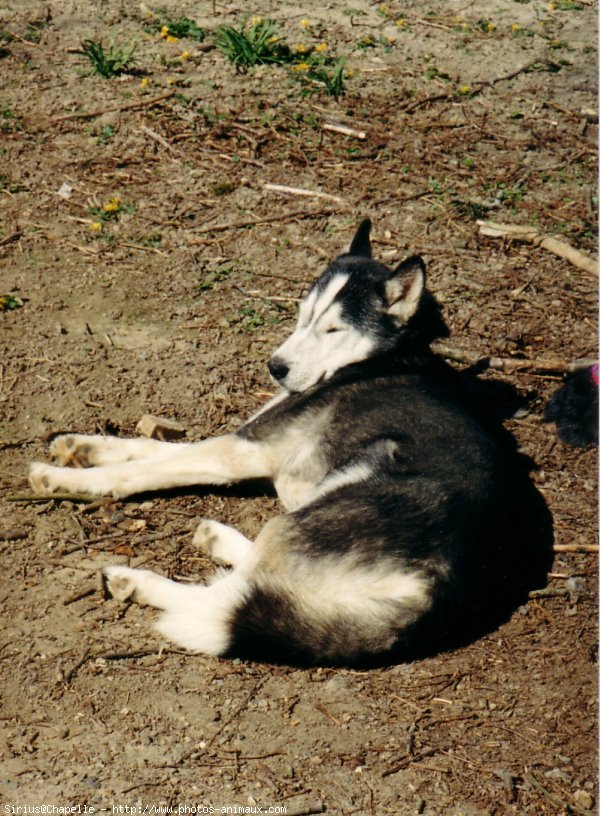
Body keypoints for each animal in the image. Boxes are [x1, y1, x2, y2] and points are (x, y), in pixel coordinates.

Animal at [28, 220, 552, 668]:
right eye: (302, 317)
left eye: (334, 329)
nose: (275, 367)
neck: (379, 357)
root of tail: (444, 588)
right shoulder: (247, 441)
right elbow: (149, 448)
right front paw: (78, 447)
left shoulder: (240, 451)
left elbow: (138, 471)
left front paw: (62, 478)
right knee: (255, 581)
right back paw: (216, 538)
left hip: (335, 492)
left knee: (229, 599)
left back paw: (135, 581)